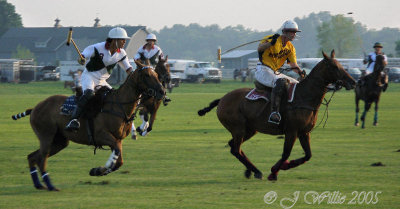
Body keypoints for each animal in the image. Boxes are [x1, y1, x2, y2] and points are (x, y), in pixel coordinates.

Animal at [11, 63, 163, 191]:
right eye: (147, 75)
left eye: (156, 73)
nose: (162, 91)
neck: (119, 105)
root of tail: (35, 108)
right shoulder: (102, 136)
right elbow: (115, 158)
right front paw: (100, 169)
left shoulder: (117, 140)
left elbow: (119, 161)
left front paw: (98, 170)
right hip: (46, 136)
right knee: (42, 159)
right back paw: (50, 185)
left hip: (59, 141)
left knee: (33, 157)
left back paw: (39, 184)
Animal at [198, 50, 354, 181]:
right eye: (334, 66)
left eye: (341, 65)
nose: (353, 82)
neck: (304, 97)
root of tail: (222, 99)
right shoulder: (292, 131)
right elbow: (286, 153)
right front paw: (273, 172)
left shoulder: (304, 132)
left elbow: (308, 155)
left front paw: (282, 167)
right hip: (238, 128)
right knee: (236, 149)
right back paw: (256, 171)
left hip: (250, 129)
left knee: (234, 147)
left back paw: (251, 171)